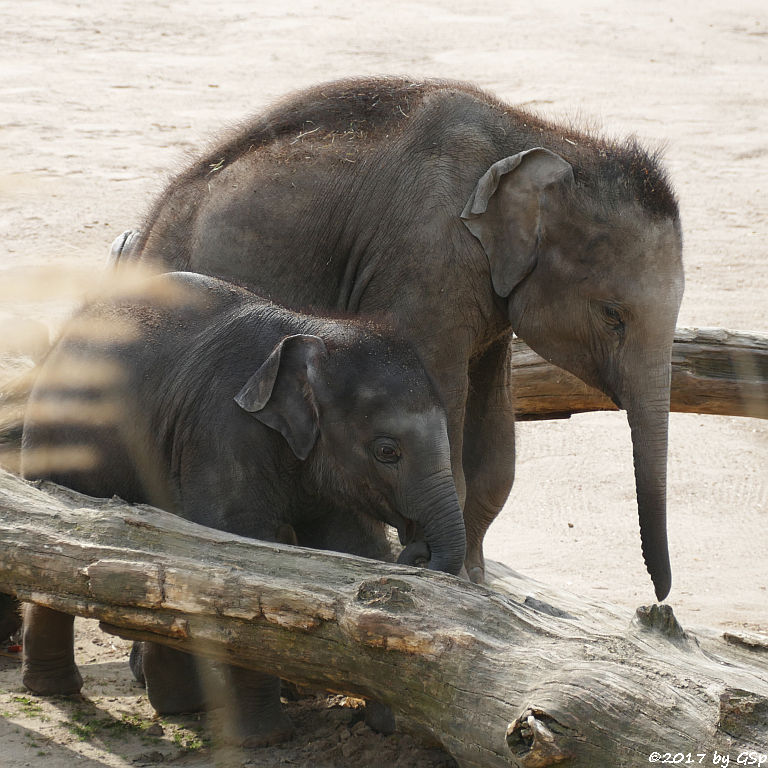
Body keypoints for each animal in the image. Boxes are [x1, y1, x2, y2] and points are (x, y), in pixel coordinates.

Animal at [21, 270, 464, 744]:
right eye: (387, 451)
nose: (417, 546)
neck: (312, 330)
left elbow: (354, 550)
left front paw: (386, 725)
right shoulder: (223, 433)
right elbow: (240, 561)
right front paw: (267, 739)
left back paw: (180, 706)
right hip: (55, 437)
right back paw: (56, 690)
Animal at [109, 76, 684, 600]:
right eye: (613, 314)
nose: (660, 595)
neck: (545, 137)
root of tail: (146, 227)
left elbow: (494, 446)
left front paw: (476, 582)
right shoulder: (427, 261)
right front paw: (452, 577)